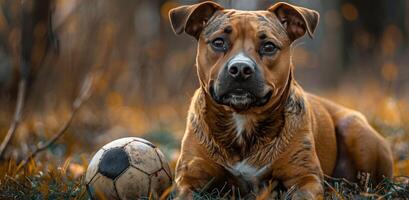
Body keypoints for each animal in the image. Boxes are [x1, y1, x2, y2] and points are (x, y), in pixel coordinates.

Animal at [167, 1, 392, 198]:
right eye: (218, 42)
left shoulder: (304, 178)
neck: (243, 120)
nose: (240, 68)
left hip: (354, 129)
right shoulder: (189, 179)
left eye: (269, 46)